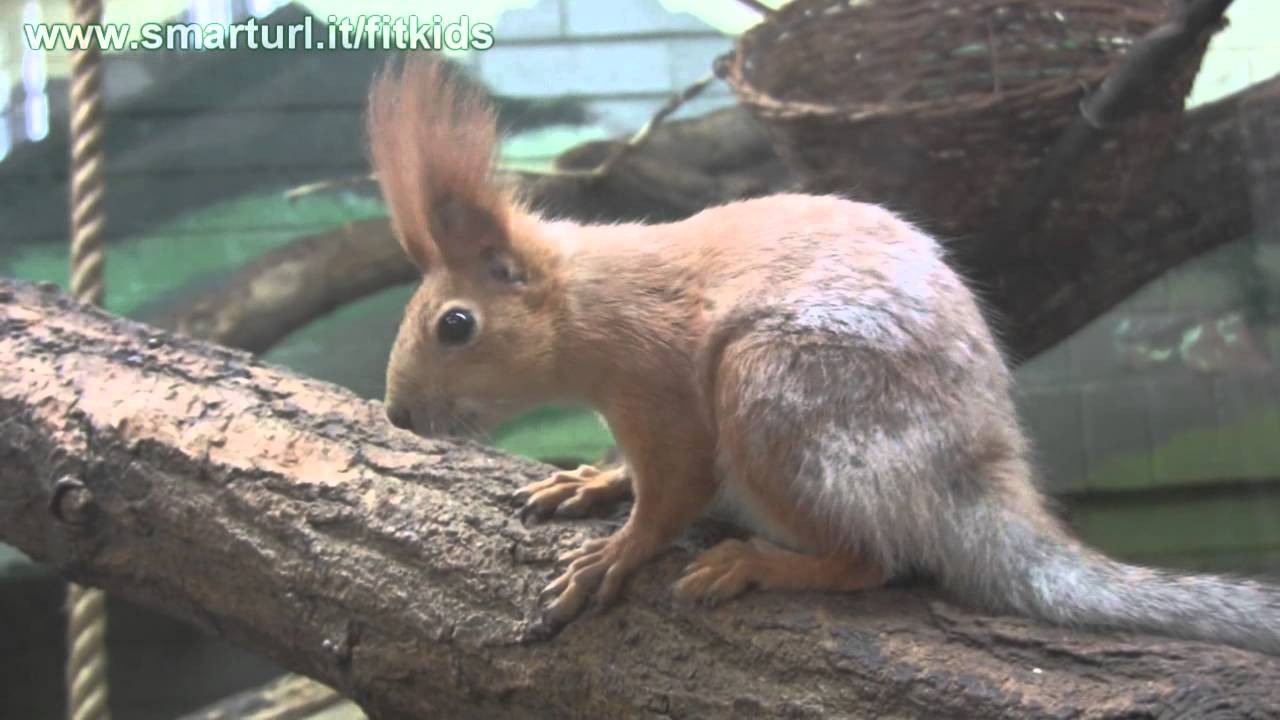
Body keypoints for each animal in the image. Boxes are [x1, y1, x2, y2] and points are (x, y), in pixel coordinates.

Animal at [368, 54, 1280, 655]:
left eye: (456, 325)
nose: (399, 413)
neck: (589, 304)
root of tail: (973, 485)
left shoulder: (658, 390)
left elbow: (673, 494)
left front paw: (615, 554)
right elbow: (635, 474)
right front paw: (592, 479)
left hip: (776, 400)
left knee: (873, 562)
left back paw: (754, 564)